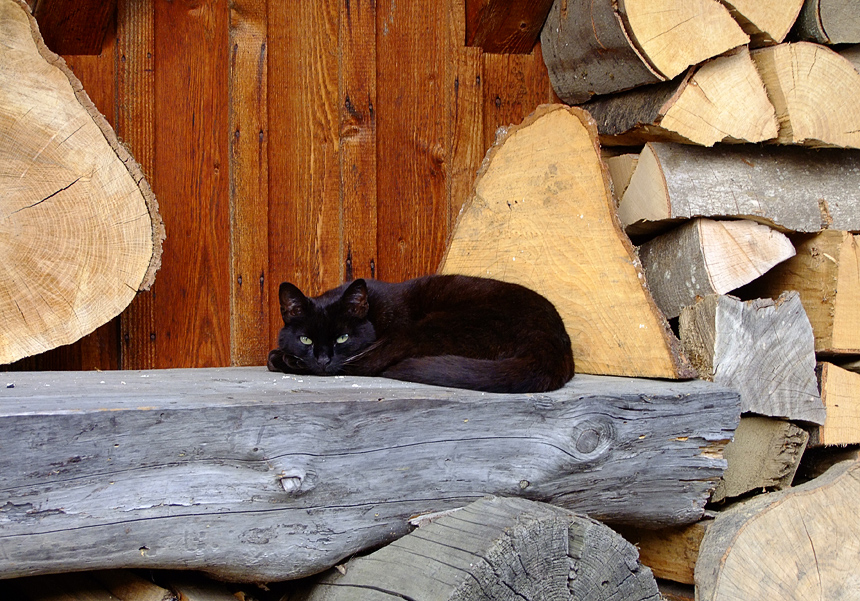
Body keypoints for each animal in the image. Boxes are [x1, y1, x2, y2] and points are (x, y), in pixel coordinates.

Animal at [268, 274, 576, 394]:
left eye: (342, 338)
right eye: (306, 339)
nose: (322, 360)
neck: (375, 313)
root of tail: (552, 341)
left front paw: (283, 358)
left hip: (425, 329)